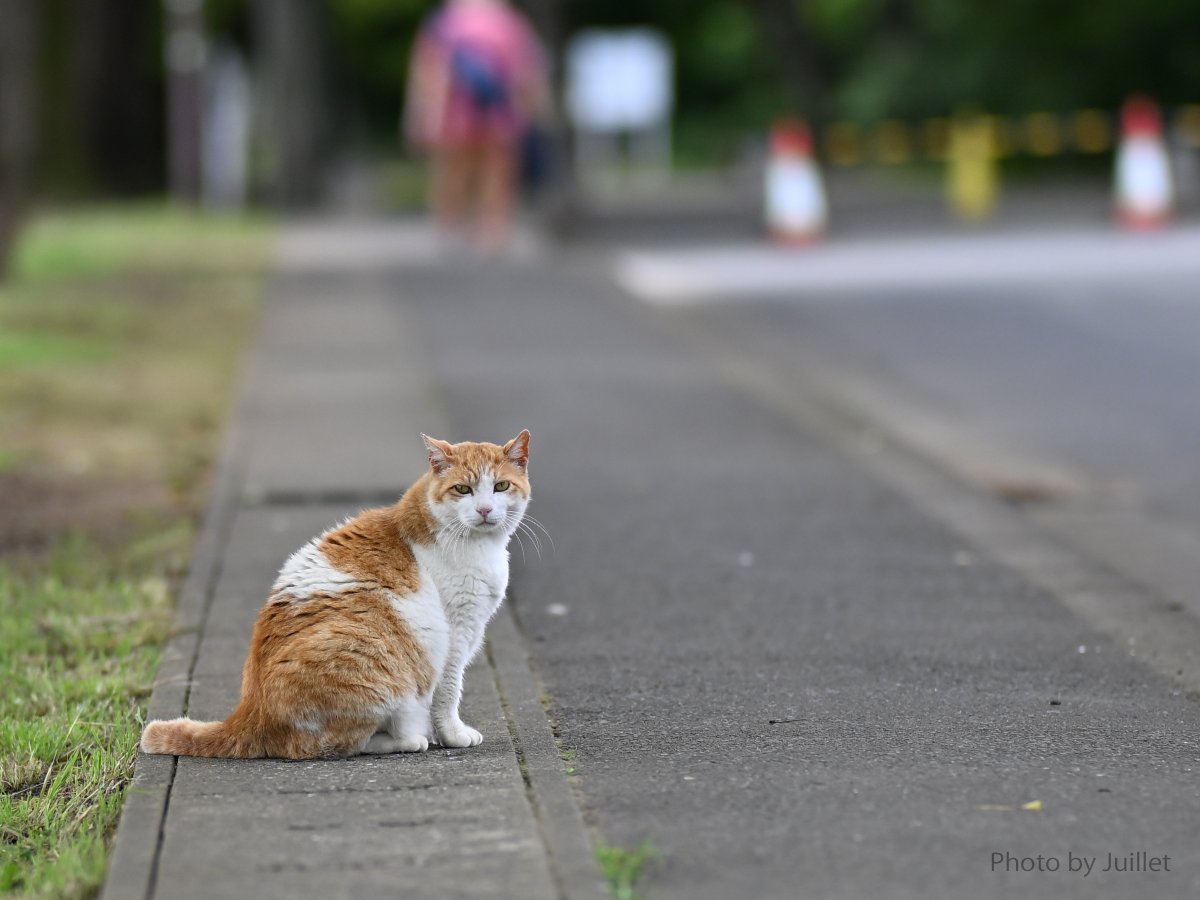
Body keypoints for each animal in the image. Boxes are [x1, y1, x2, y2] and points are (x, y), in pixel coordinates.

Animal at [139, 429, 530, 763]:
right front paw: (452, 735)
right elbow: (448, 693)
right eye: (463, 489)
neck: (478, 547)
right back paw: (406, 740)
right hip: (376, 665)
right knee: (332, 744)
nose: (484, 510)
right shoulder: (455, 635)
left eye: (500, 486)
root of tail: (251, 710)